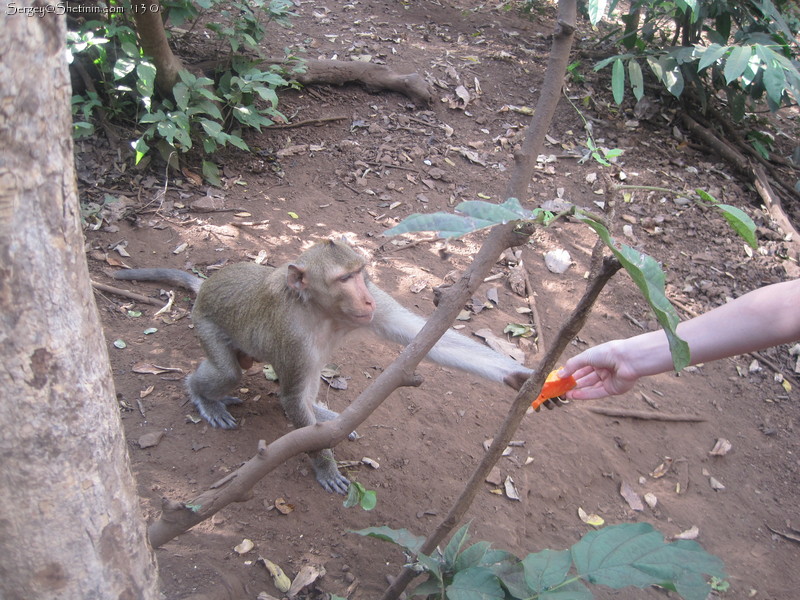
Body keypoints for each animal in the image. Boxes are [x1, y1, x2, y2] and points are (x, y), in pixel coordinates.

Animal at [112, 238, 536, 492]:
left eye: (360, 273)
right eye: (344, 278)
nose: (365, 299)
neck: (319, 310)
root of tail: (207, 287)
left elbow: (424, 336)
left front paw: (522, 375)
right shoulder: (293, 337)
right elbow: (290, 398)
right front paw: (325, 466)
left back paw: (324, 414)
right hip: (205, 323)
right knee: (229, 372)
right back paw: (202, 396)